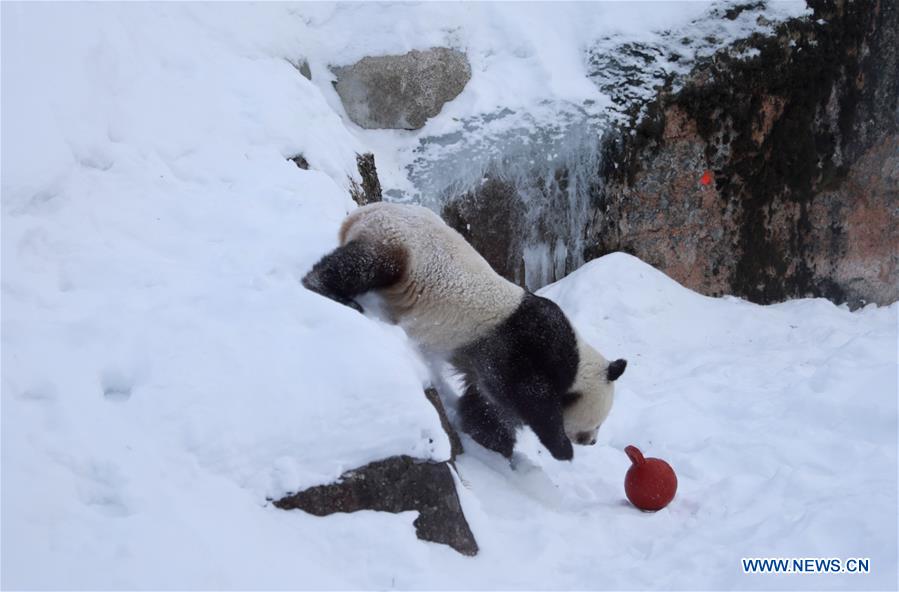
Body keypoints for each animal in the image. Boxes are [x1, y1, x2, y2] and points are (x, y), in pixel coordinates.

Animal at [302, 202, 626, 461]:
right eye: (598, 422)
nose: (591, 441)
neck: (577, 360)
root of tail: (364, 211)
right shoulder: (526, 346)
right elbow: (528, 398)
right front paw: (561, 448)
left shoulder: (486, 359)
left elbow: (487, 406)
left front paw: (492, 444)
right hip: (398, 243)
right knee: (365, 266)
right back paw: (328, 289)